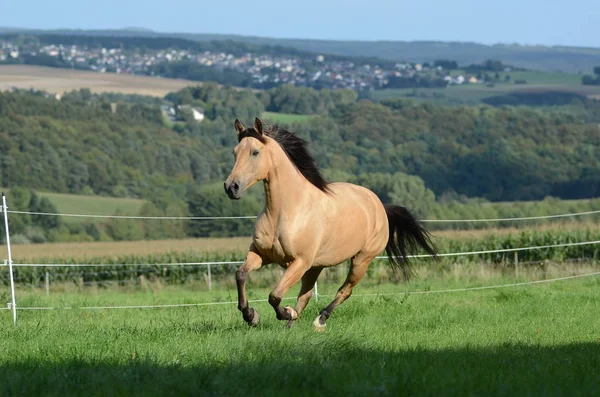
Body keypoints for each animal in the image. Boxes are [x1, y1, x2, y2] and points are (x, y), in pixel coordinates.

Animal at [225, 117, 436, 328]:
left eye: (255, 152)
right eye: (234, 152)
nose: (231, 187)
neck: (286, 212)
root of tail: (379, 206)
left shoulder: (299, 262)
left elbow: (274, 295)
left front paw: (284, 312)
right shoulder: (261, 254)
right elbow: (240, 274)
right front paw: (251, 315)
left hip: (361, 260)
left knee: (344, 291)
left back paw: (319, 320)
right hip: (316, 266)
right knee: (306, 295)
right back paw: (290, 325)